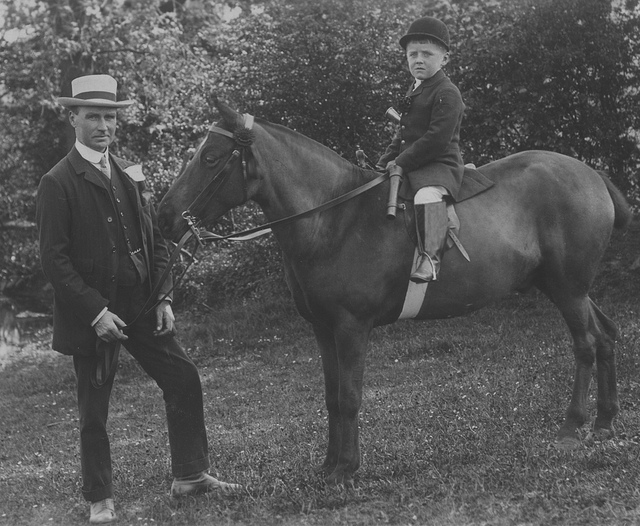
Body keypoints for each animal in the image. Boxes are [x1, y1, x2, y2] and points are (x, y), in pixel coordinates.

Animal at [157, 98, 632, 486]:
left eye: (210, 158)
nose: (164, 216)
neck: (334, 217)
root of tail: (590, 173)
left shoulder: (351, 327)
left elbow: (350, 397)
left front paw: (347, 469)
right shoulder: (323, 329)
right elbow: (332, 396)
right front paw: (330, 465)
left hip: (567, 288)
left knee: (585, 344)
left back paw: (573, 427)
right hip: (565, 287)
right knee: (605, 334)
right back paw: (605, 422)